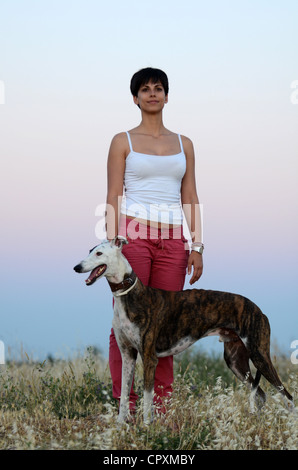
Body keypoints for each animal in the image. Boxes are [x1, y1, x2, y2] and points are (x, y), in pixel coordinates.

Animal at [74, 237, 294, 424]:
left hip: (259, 354)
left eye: (99, 253)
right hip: (236, 360)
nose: (77, 267)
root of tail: (259, 310)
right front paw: (120, 426)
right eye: (89, 251)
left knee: (287, 395)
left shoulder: (149, 357)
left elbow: (147, 396)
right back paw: (256, 422)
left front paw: (146, 426)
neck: (130, 295)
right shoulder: (128, 355)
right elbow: (125, 393)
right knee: (261, 395)